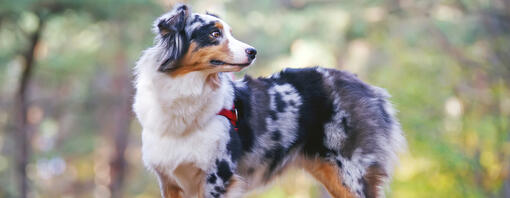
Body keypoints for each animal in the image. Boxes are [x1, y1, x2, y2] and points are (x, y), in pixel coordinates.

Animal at [132, 4, 406, 198]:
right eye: (214, 33)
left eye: (230, 33)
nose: (253, 52)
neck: (185, 93)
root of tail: (369, 88)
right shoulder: (169, 181)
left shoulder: (218, 178)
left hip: (351, 173)